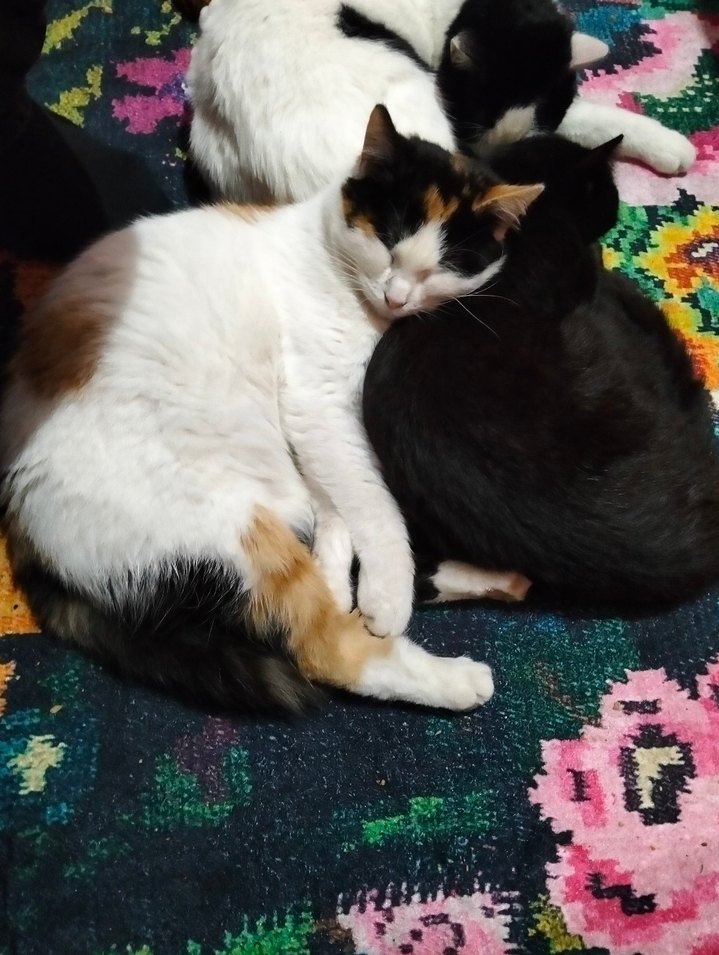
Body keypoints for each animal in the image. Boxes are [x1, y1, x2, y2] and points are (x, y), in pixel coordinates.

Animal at [0, 107, 545, 713]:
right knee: (329, 650)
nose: (397, 296)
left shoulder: (317, 433)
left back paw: (498, 579)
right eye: (387, 241)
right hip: (236, 534)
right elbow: (371, 498)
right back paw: (458, 678)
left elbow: (339, 501)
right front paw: (384, 590)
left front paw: (342, 569)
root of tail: (20, 517)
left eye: (442, 267)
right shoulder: (320, 404)